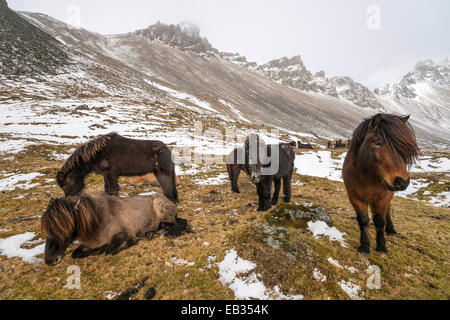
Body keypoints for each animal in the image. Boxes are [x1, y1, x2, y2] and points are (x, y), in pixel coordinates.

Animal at [40, 192, 185, 264]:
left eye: (63, 228)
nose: (49, 260)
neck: (97, 222)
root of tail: (168, 200)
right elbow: (76, 254)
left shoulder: (123, 233)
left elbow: (108, 249)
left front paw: (131, 242)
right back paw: (150, 233)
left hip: (162, 210)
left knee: (172, 223)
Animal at [342, 114, 420, 254]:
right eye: (377, 143)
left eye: (402, 147)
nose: (402, 181)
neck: (366, 177)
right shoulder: (355, 197)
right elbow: (363, 221)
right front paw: (364, 246)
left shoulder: (382, 198)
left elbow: (379, 221)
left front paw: (382, 247)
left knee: (387, 212)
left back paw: (391, 230)